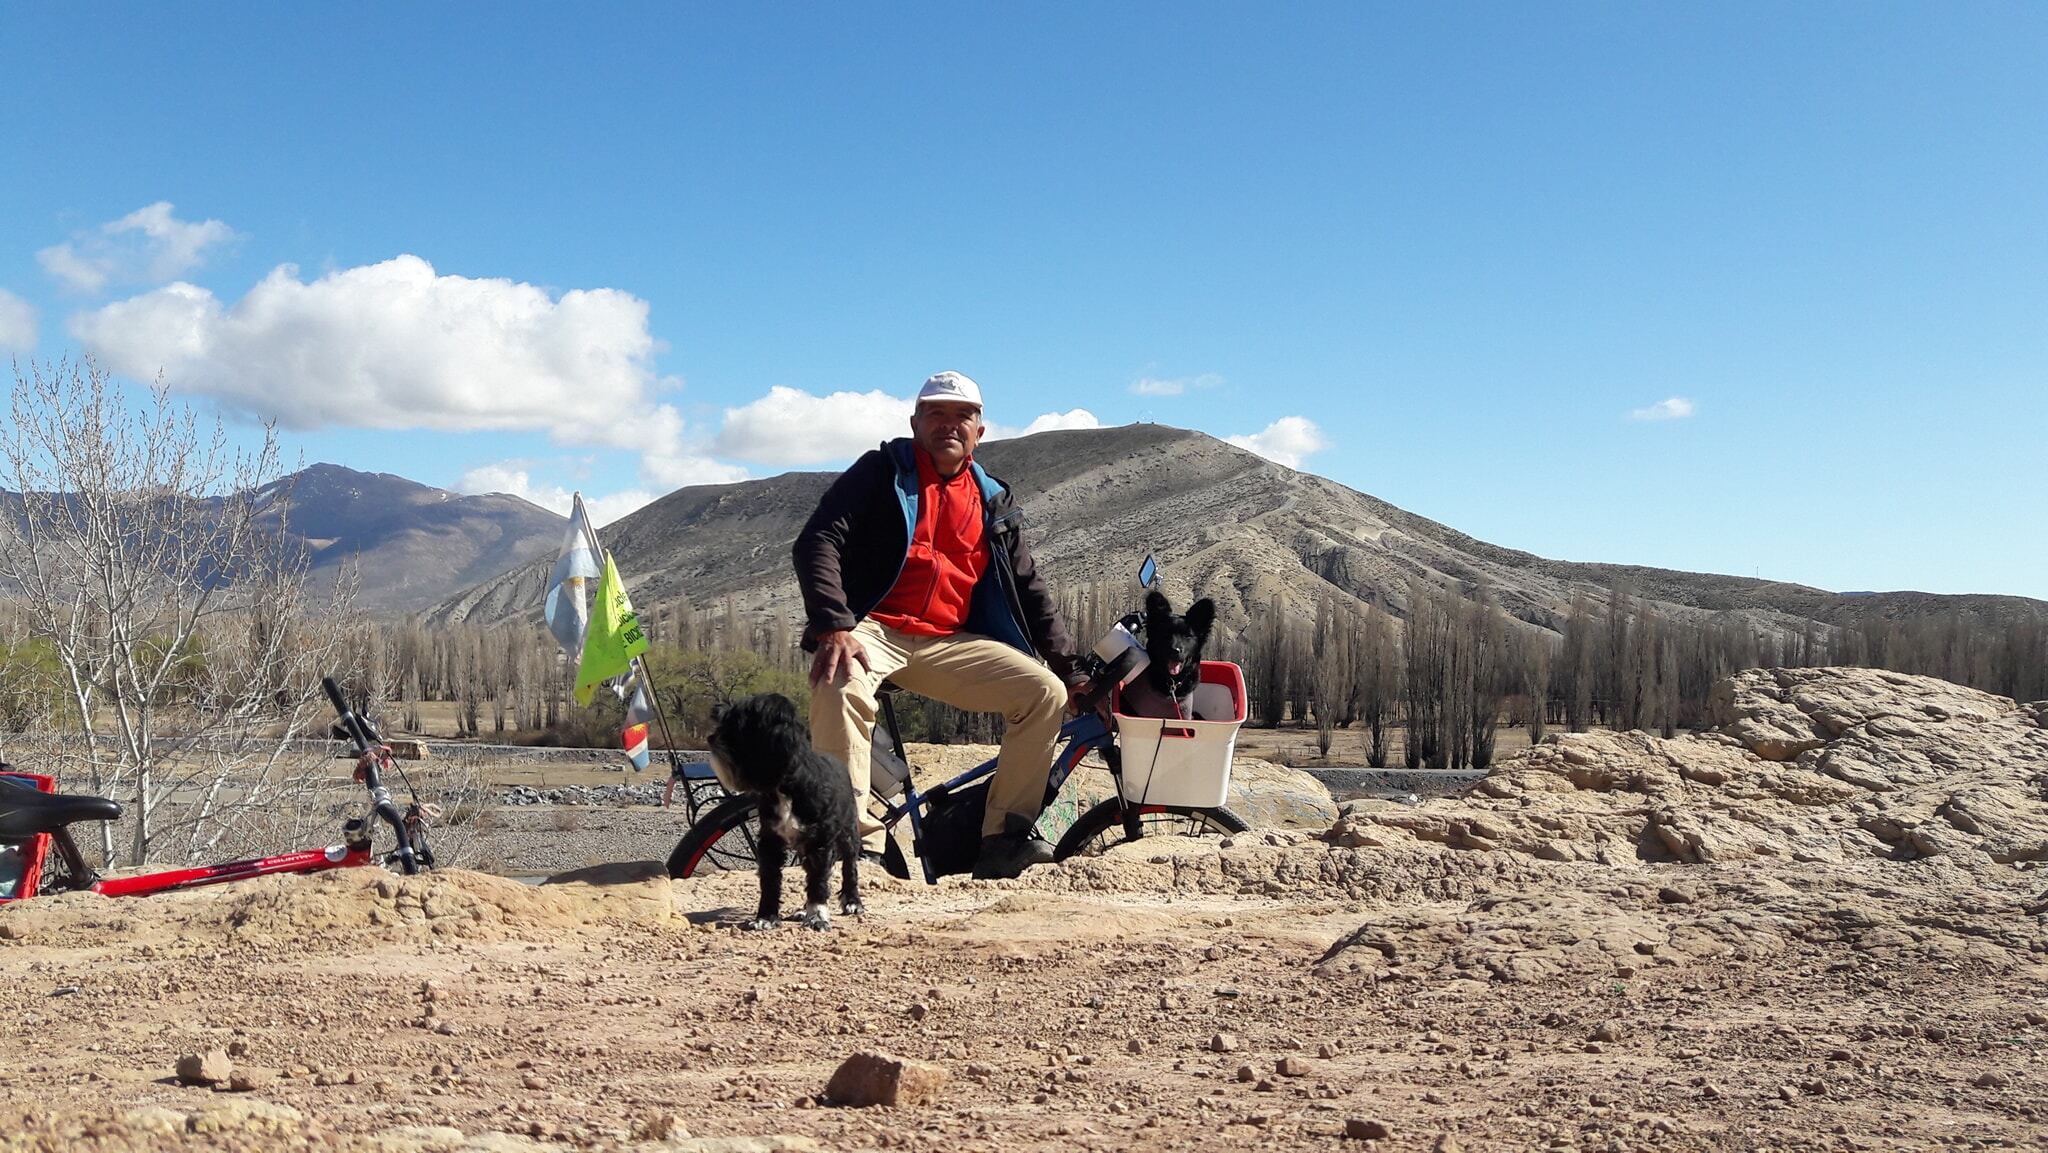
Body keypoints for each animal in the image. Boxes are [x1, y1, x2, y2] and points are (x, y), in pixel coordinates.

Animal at [708, 696, 860, 929]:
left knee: (849, 866)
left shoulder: (819, 842)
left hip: (848, 832)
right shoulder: (770, 841)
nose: (711, 738)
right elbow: (770, 881)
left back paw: (852, 902)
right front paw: (765, 917)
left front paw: (817, 916)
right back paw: (802, 910)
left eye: (738, 725)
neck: (785, 787)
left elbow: (818, 881)